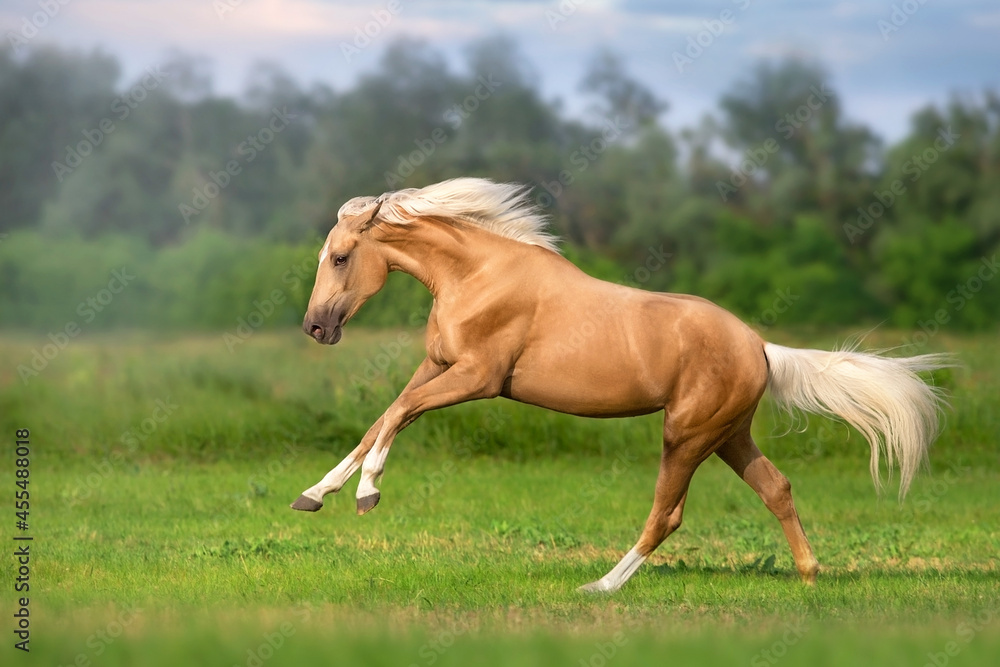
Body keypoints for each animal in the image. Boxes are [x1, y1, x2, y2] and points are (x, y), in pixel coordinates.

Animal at [291, 177, 950, 593]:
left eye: (342, 257)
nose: (316, 327)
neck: (477, 276)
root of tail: (761, 348)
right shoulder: (436, 367)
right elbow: (383, 416)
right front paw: (315, 494)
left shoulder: (478, 378)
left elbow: (399, 414)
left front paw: (367, 494)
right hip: (729, 436)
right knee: (777, 489)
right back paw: (810, 577)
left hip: (686, 435)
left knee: (668, 515)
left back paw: (601, 585)